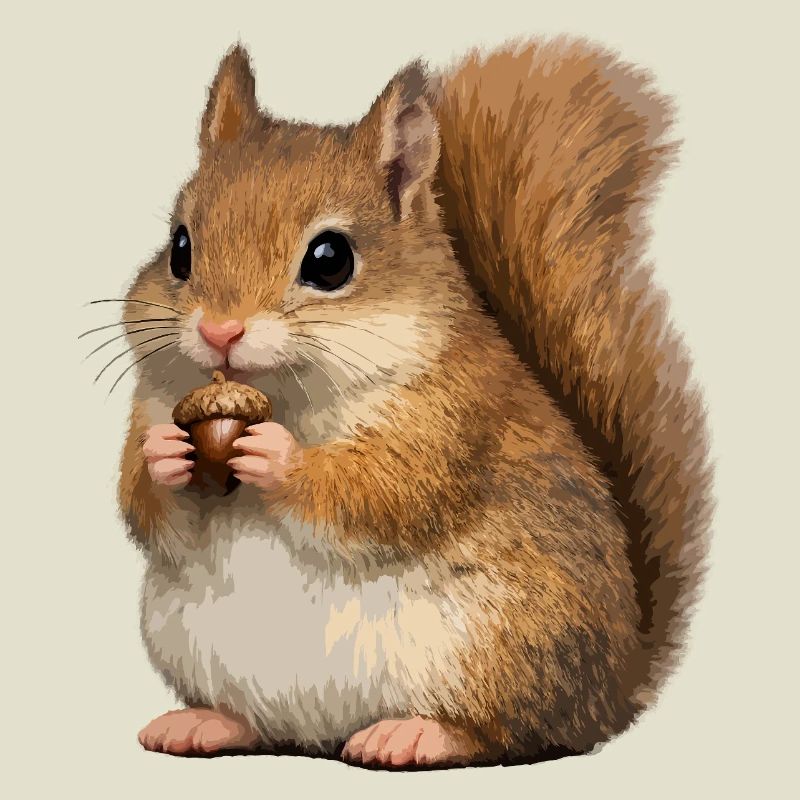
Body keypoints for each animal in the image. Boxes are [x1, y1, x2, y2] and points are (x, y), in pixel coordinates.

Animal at [115, 36, 712, 768]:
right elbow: (145, 507)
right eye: (179, 247)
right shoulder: (153, 401)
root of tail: (614, 688)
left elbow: (386, 491)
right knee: (261, 724)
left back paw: (416, 734)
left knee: (511, 733)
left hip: (503, 644)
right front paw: (164, 457)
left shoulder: (452, 417)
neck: (288, 395)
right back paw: (206, 723)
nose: (219, 332)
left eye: (330, 259)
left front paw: (279, 458)